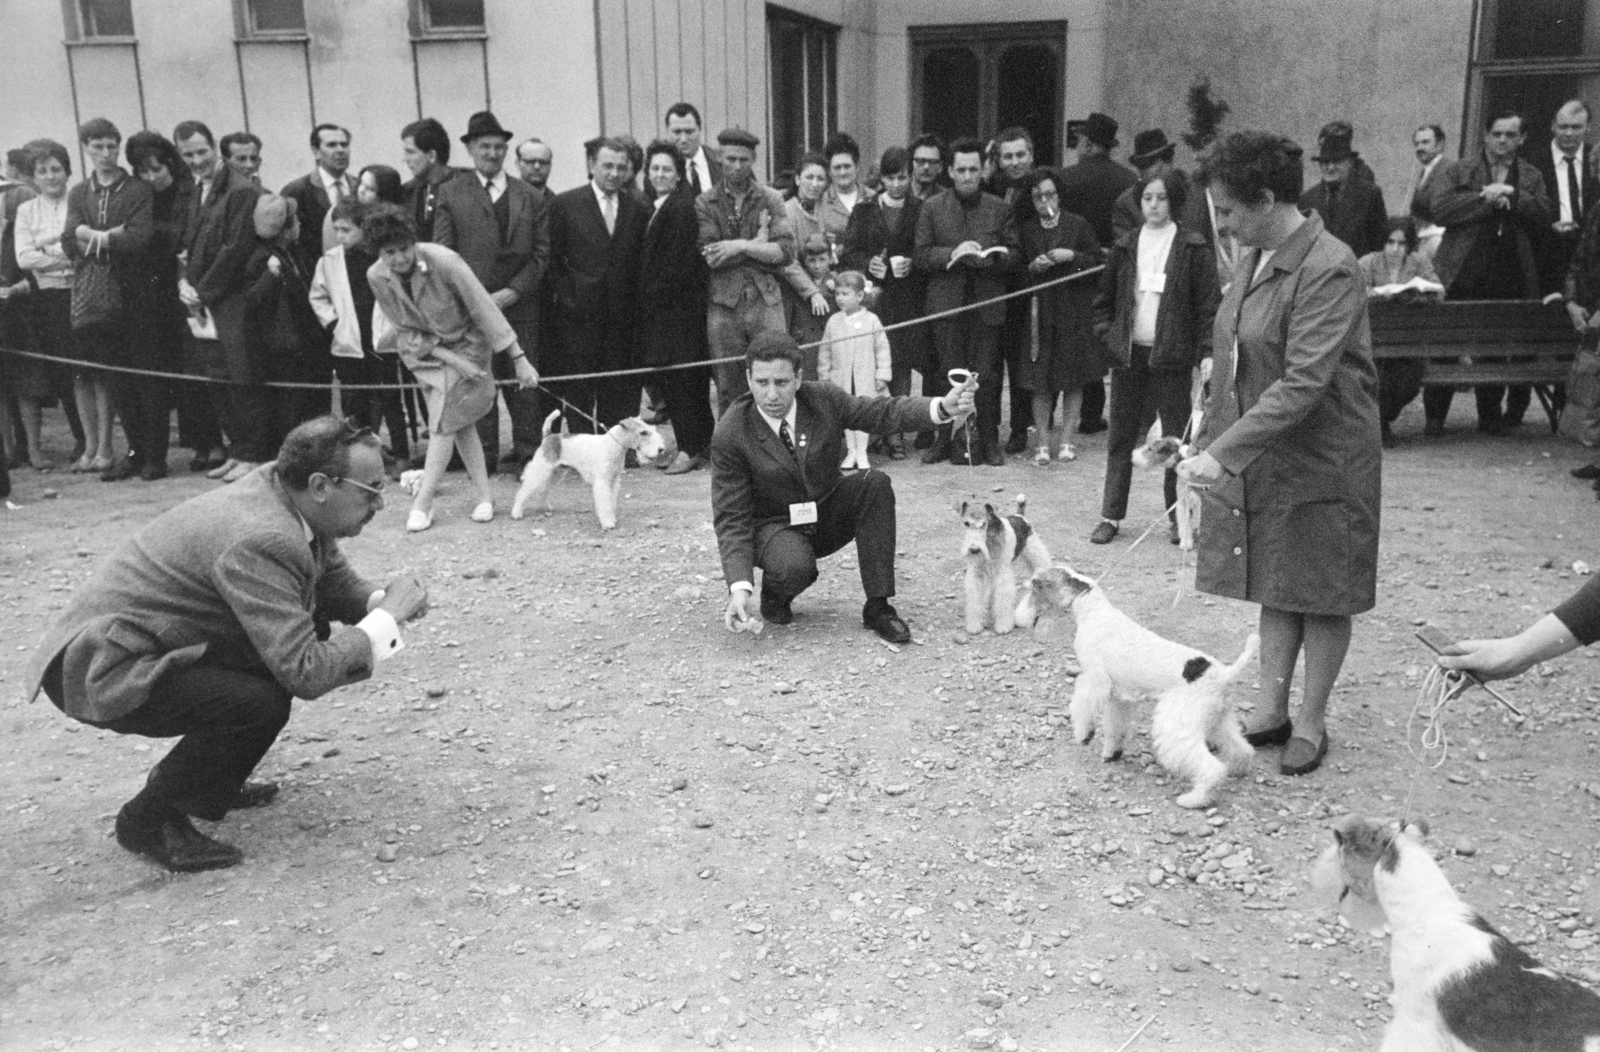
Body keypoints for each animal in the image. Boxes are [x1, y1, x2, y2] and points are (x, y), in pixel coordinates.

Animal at [508, 407, 665, 527]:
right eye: (643, 432)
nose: (661, 449)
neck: (613, 446)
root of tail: (549, 436)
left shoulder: (614, 480)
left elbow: (611, 501)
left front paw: (612, 517)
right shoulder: (602, 482)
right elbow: (604, 503)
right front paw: (608, 523)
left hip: (556, 472)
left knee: (543, 489)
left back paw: (547, 507)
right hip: (541, 469)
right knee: (523, 491)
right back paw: (516, 513)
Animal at [960, 492, 1049, 629]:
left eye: (984, 524)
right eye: (966, 523)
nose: (974, 549)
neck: (989, 540)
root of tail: (1019, 515)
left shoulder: (1002, 574)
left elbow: (1003, 600)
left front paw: (1003, 626)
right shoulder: (977, 573)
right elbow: (975, 600)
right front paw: (975, 625)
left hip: (1034, 550)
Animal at [1017, 565, 1254, 802]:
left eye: (1035, 588)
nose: (1020, 620)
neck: (1093, 612)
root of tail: (1225, 674)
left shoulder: (1094, 680)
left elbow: (1082, 708)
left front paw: (1083, 735)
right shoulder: (1118, 698)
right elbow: (1114, 727)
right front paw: (1112, 753)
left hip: (1177, 723)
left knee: (1211, 767)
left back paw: (1193, 799)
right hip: (1218, 719)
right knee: (1241, 748)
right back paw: (1237, 769)